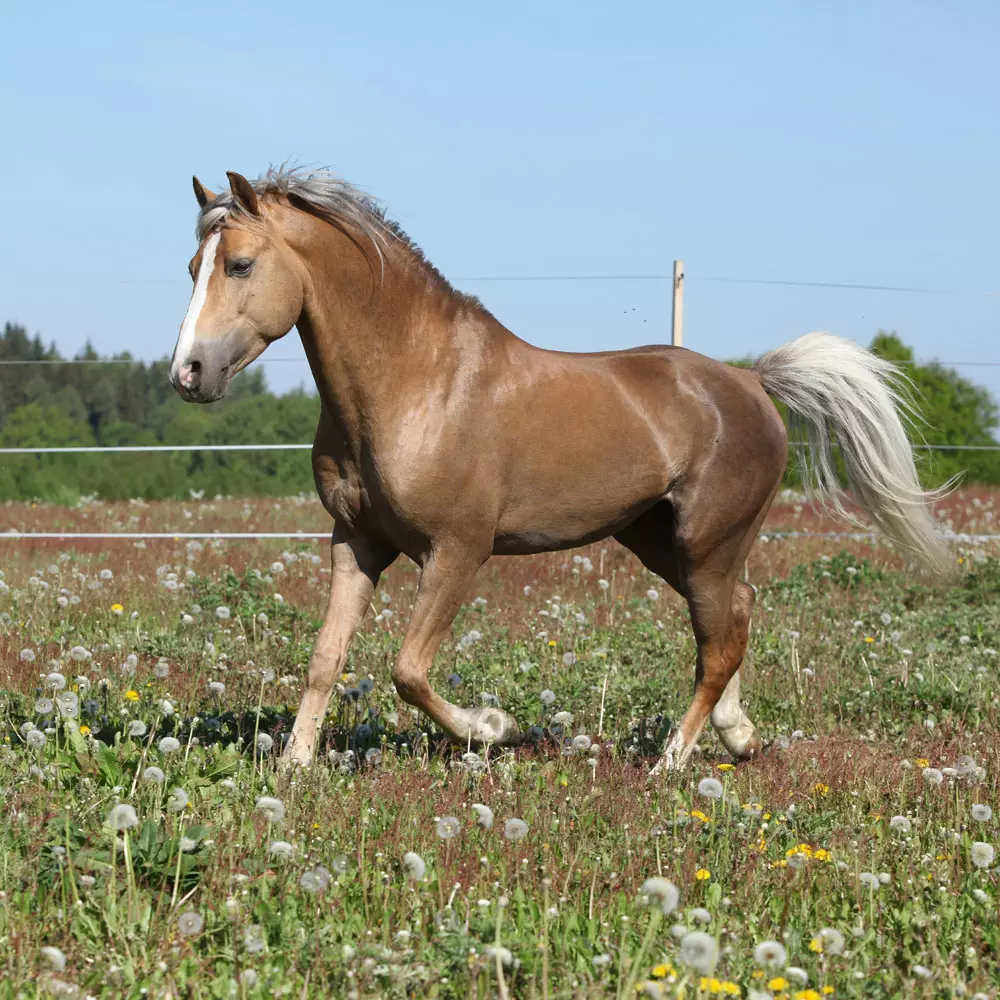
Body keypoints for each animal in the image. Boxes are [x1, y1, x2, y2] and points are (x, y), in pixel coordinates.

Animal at [168, 170, 948, 772]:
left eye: (240, 265)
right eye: (193, 269)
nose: (188, 374)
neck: (415, 382)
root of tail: (752, 383)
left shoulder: (458, 551)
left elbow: (408, 671)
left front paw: (494, 728)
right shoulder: (356, 541)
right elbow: (326, 656)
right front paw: (296, 766)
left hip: (706, 542)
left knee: (717, 643)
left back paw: (671, 761)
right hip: (660, 542)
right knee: (736, 615)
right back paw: (739, 738)